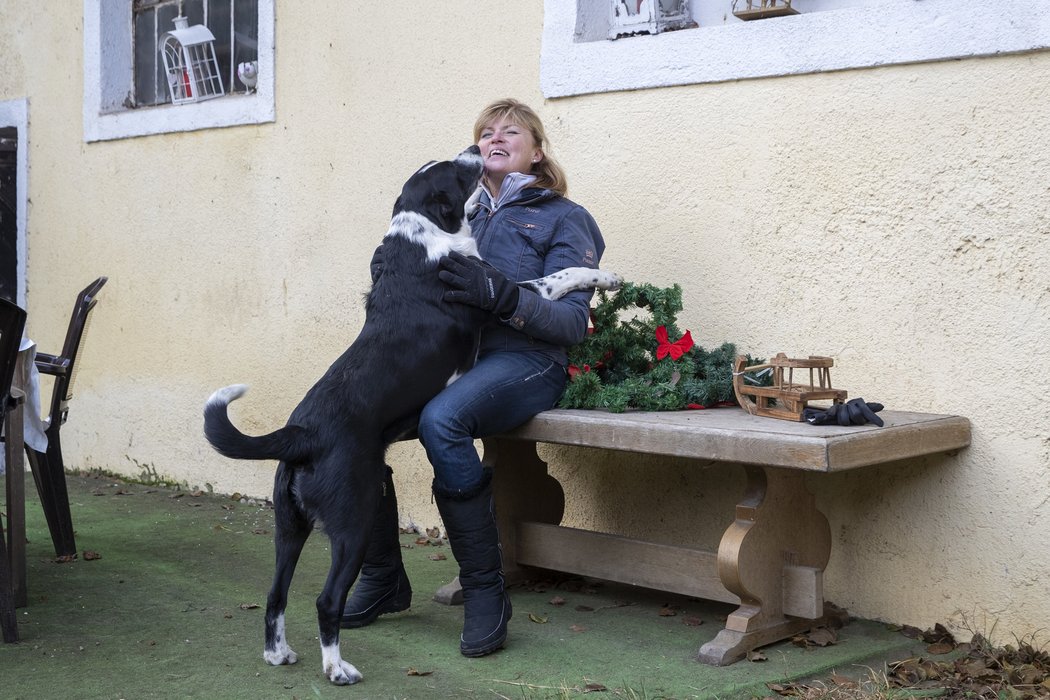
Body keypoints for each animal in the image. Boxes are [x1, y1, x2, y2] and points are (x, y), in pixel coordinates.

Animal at [200, 144, 617, 688]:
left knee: (275, 594)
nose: (477, 147)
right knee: (326, 600)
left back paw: (278, 653)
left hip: (289, 526)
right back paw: (336, 668)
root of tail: (301, 432)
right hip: (352, 519)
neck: (423, 234)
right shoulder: (496, 294)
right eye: (456, 171)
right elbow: (556, 277)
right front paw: (606, 276)